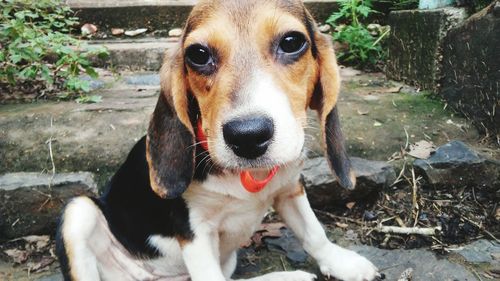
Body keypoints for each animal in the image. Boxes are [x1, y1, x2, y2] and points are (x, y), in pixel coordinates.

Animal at [56, 0, 380, 280]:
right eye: (198, 54)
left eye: (291, 42)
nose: (248, 136)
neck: (249, 177)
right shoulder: (195, 231)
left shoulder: (289, 189)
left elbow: (313, 232)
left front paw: (342, 263)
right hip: (78, 212)